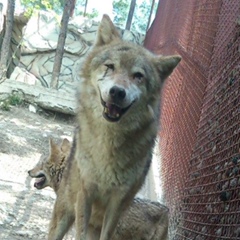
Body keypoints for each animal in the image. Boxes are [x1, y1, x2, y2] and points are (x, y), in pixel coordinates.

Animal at [48, 14, 180, 240]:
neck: (108, 145)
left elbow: (107, 232)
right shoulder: (86, 192)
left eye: (138, 76)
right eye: (110, 66)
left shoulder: (117, 203)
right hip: (63, 216)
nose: (117, 92)